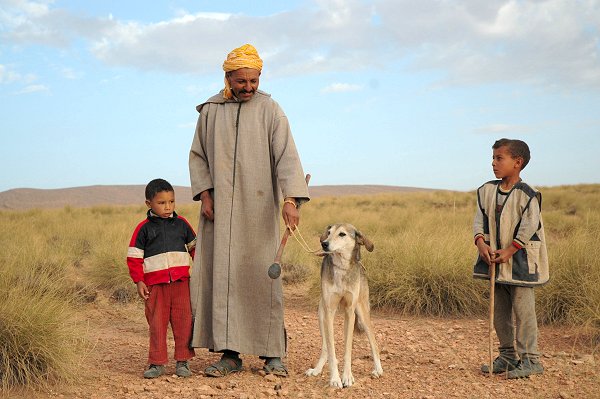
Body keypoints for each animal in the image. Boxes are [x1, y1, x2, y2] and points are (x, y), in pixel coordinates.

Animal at [304, 223, 384, 390]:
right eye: (328, 232)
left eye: (342, 234)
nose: (324, 244)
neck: (341, 267)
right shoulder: (329, 311)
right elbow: (331, 350)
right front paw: (335, 379)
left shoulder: (350, 312)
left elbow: (347, 350)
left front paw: (347, 377)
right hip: (321, 314)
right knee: (326, 347)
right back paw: (317, 369)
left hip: (362, 314)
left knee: (373, 342)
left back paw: (378, 370)